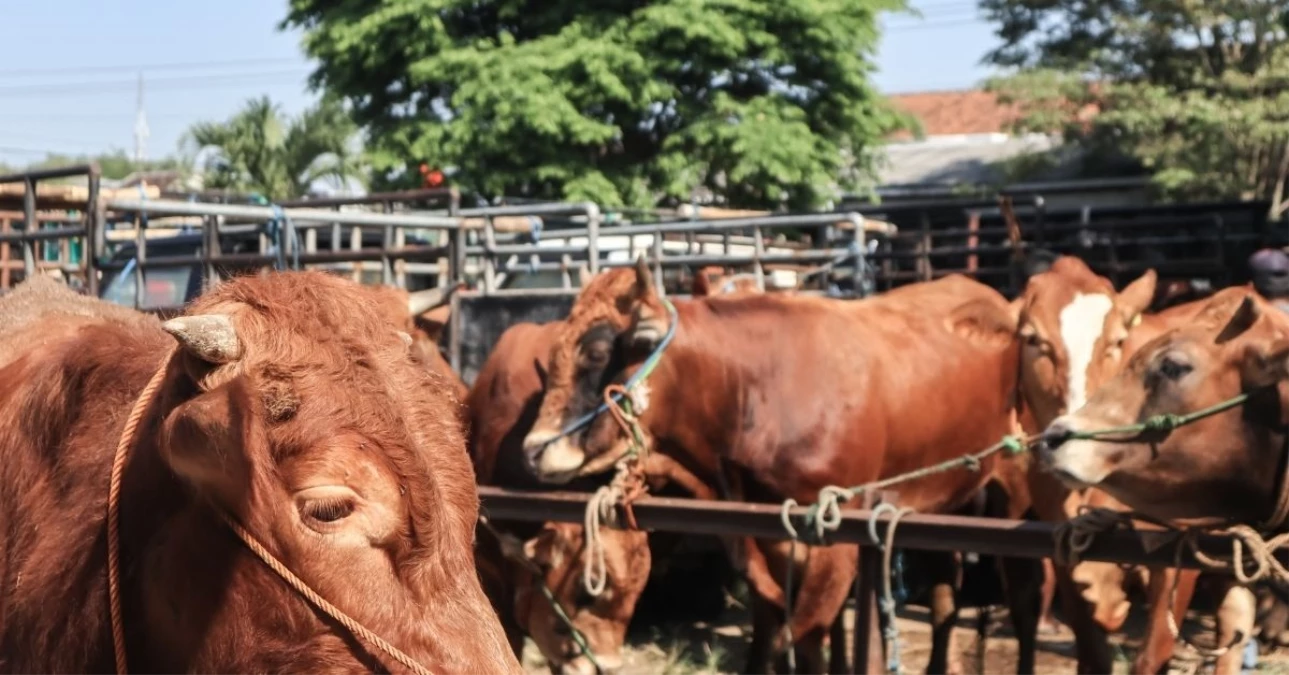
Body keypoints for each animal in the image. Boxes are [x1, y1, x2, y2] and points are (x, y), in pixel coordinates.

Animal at [518, 260, 1041, 675]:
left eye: (596, 352)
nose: (533, 448)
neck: (753, 390)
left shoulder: (837, 536)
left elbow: (805, 632)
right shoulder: (758, 534)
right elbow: (772, 622)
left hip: (1015, 487)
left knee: (1023, 598)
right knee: (945, 587)